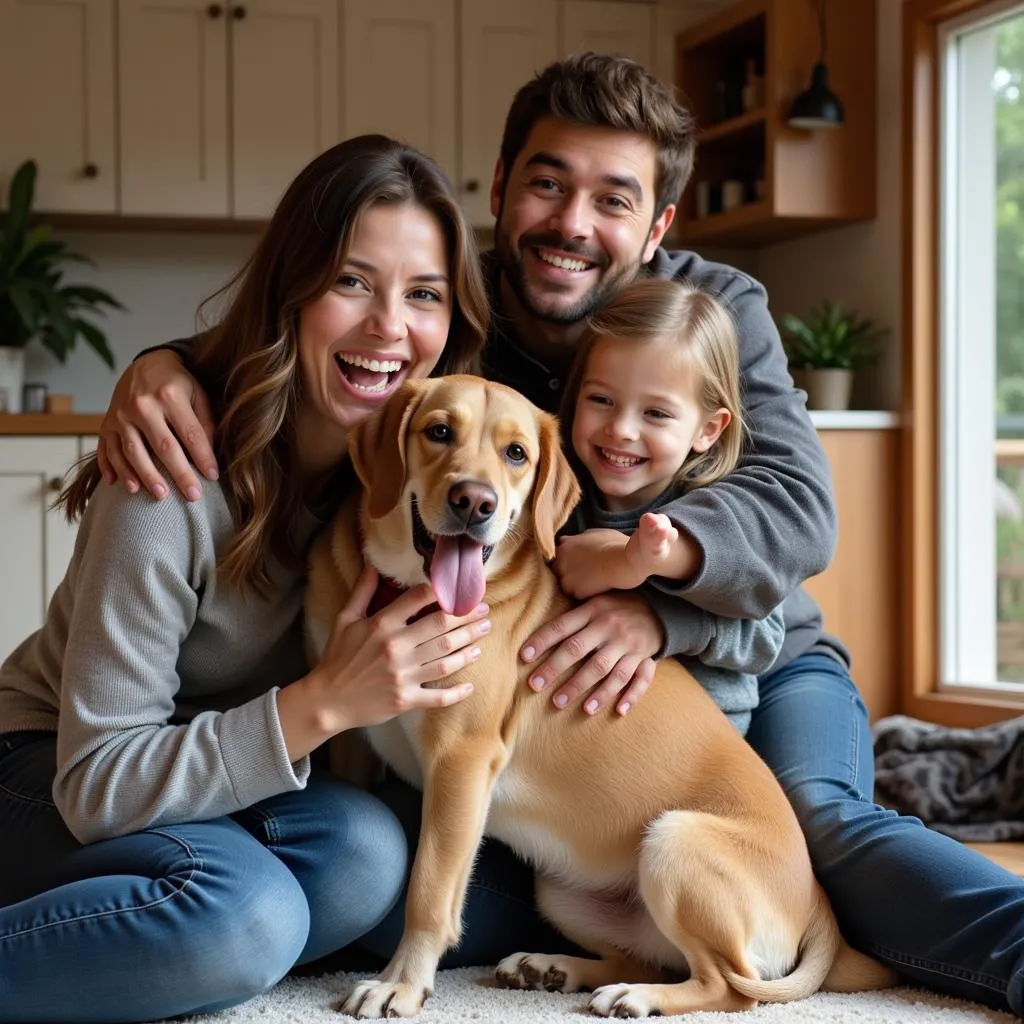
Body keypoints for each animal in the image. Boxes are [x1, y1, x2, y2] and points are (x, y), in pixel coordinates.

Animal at [305, 374, 897, 1015]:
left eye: (517, 454)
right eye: (439, 431)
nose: (475, 502)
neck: (407, 594)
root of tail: (819, 905)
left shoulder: (461, 759)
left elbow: (430, 890)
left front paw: (402, 984)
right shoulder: (353, 734)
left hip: (672, 842)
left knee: (732, 987)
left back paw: (635, 997)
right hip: (561, 890)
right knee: (650, 957)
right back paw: (554, 967)